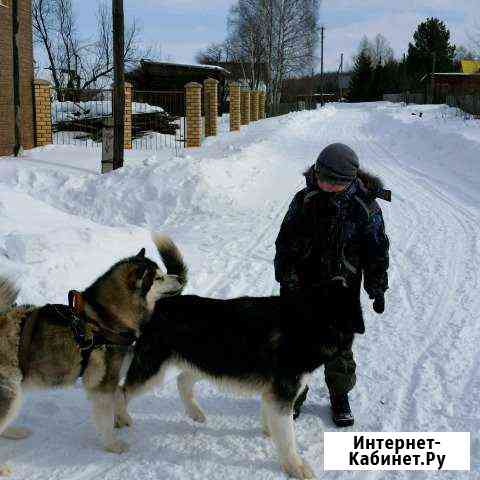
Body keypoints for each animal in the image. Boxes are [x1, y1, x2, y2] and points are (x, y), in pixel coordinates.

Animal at [116, 282, 362, 480]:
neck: (310, 320)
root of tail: (159, 304)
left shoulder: (273, 394)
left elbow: (272, 421)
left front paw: (269, 432)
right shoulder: (282, 393)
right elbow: (288, 440)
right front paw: (296, 467)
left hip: (206, 362)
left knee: (182, 380)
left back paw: (195, 412)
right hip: (154, 371)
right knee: (122, 391)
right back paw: (120, 419)